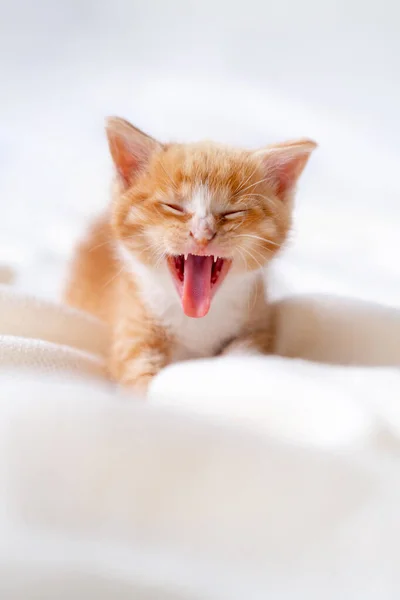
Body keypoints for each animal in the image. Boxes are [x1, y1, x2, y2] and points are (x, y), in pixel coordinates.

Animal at [65, 117, 316, 394]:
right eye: (174, 207)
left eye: (233, 212)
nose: (202, 234)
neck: (196, 321)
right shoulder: (132, 331)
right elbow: (140, 380)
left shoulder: (260, 322)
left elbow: (247, 352)